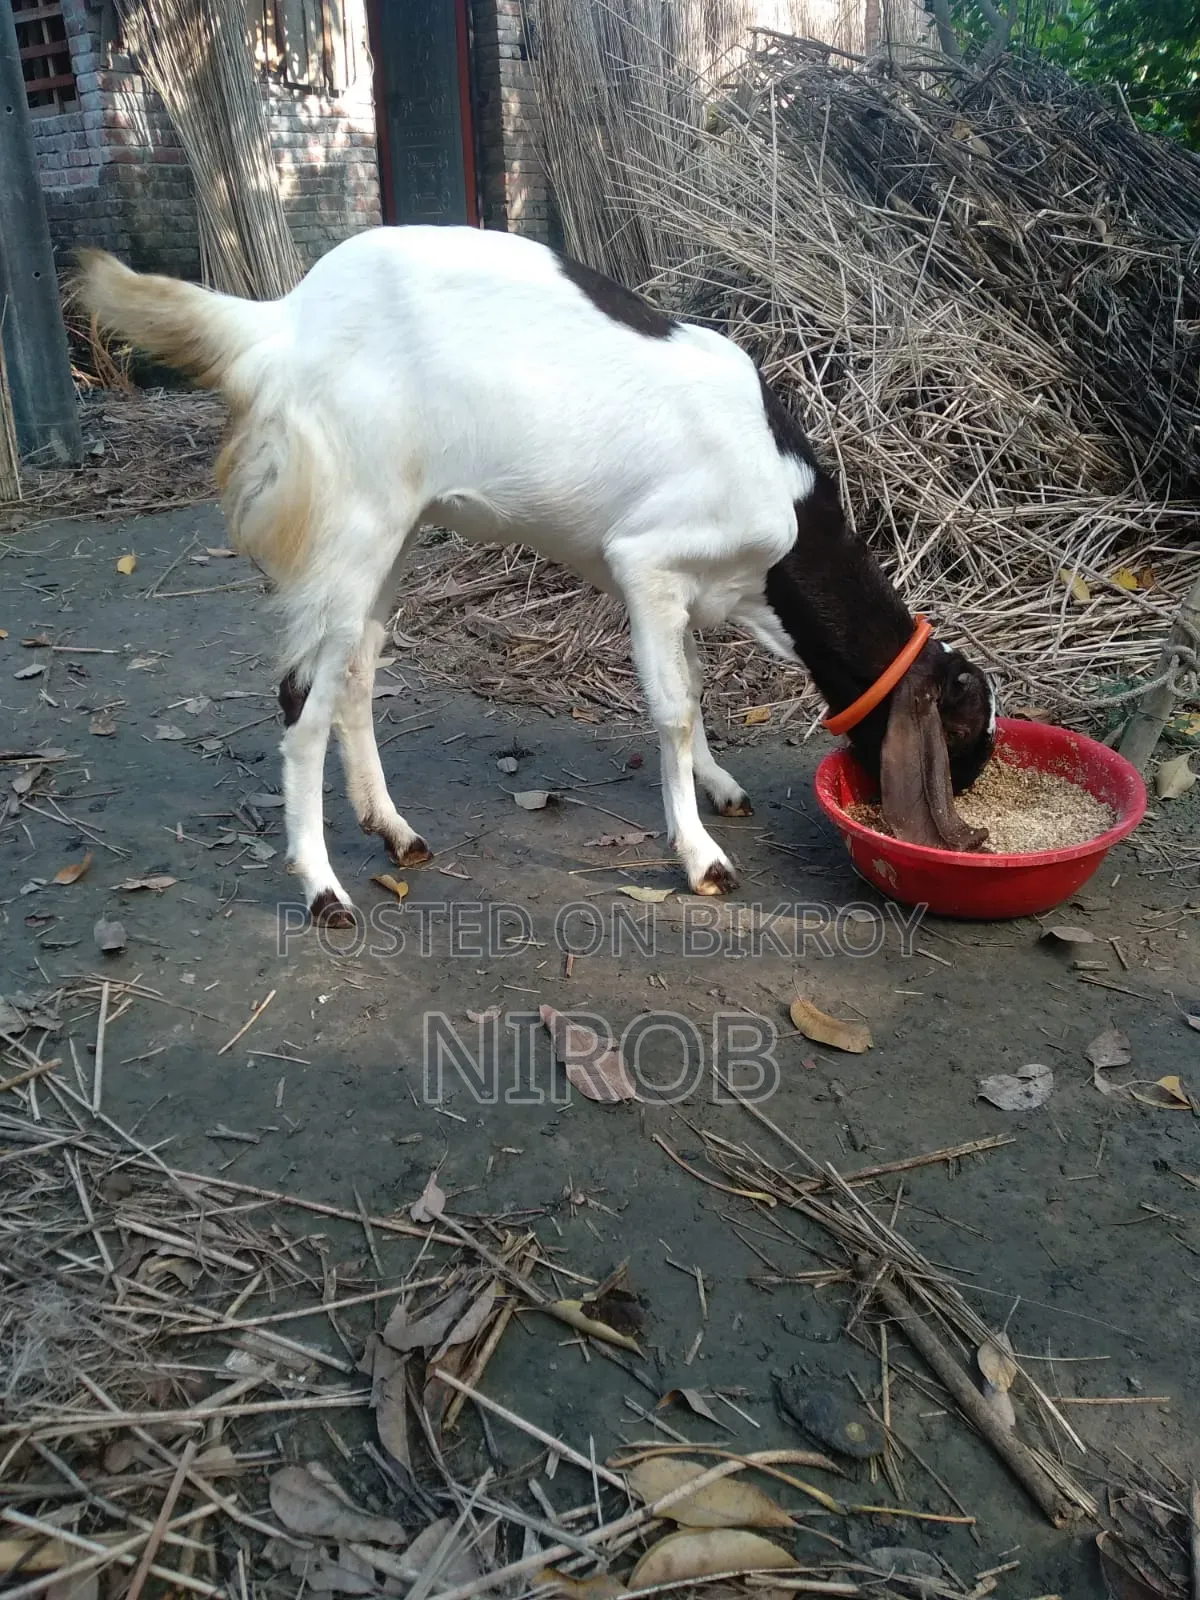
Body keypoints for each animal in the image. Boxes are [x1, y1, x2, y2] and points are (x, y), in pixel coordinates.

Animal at [77, 226, 996, 923]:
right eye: (962, 738)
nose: (969, 817)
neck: (784, 509)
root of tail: (282, 323)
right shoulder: (646, 562)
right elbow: (673, 708)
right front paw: (699, 854)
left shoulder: (684, 592)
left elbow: (694, 687)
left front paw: (718, 784)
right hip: (352, 525)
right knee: (302, 699)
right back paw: (323, 888)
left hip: (394, 532)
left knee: (357, 672)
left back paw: (393, 829)